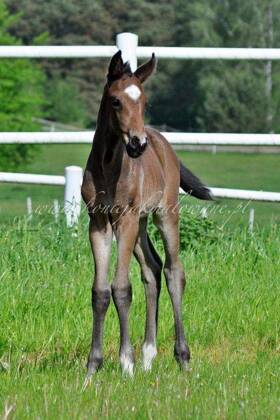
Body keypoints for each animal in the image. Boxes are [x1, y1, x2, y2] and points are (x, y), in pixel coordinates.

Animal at [82, 50, 211, 380]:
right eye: (116, 101)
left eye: (145, 101)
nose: (137, 144)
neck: (108, 166)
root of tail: (163, 142)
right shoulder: (98, 222)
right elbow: (100, 291)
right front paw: (92, 368)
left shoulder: (124, 219)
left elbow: (121, 288)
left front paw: (125, 363)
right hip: (139, 225)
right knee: (152, 269)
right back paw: (148, 355)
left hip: (164, 215)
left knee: (173, 272)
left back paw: (182, 357)